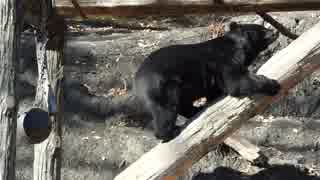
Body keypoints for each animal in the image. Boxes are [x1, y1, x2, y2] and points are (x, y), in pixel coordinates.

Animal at [134, 21, 278, 142]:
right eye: (263, 30)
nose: (275, 32)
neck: (237, 45)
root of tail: (137, 79)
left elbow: (216, 90)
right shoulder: (225, 60)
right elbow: (236, 82)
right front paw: (273, 84)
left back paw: (196, 110)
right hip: (163, 86)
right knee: (166, 110)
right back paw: (169, 132)